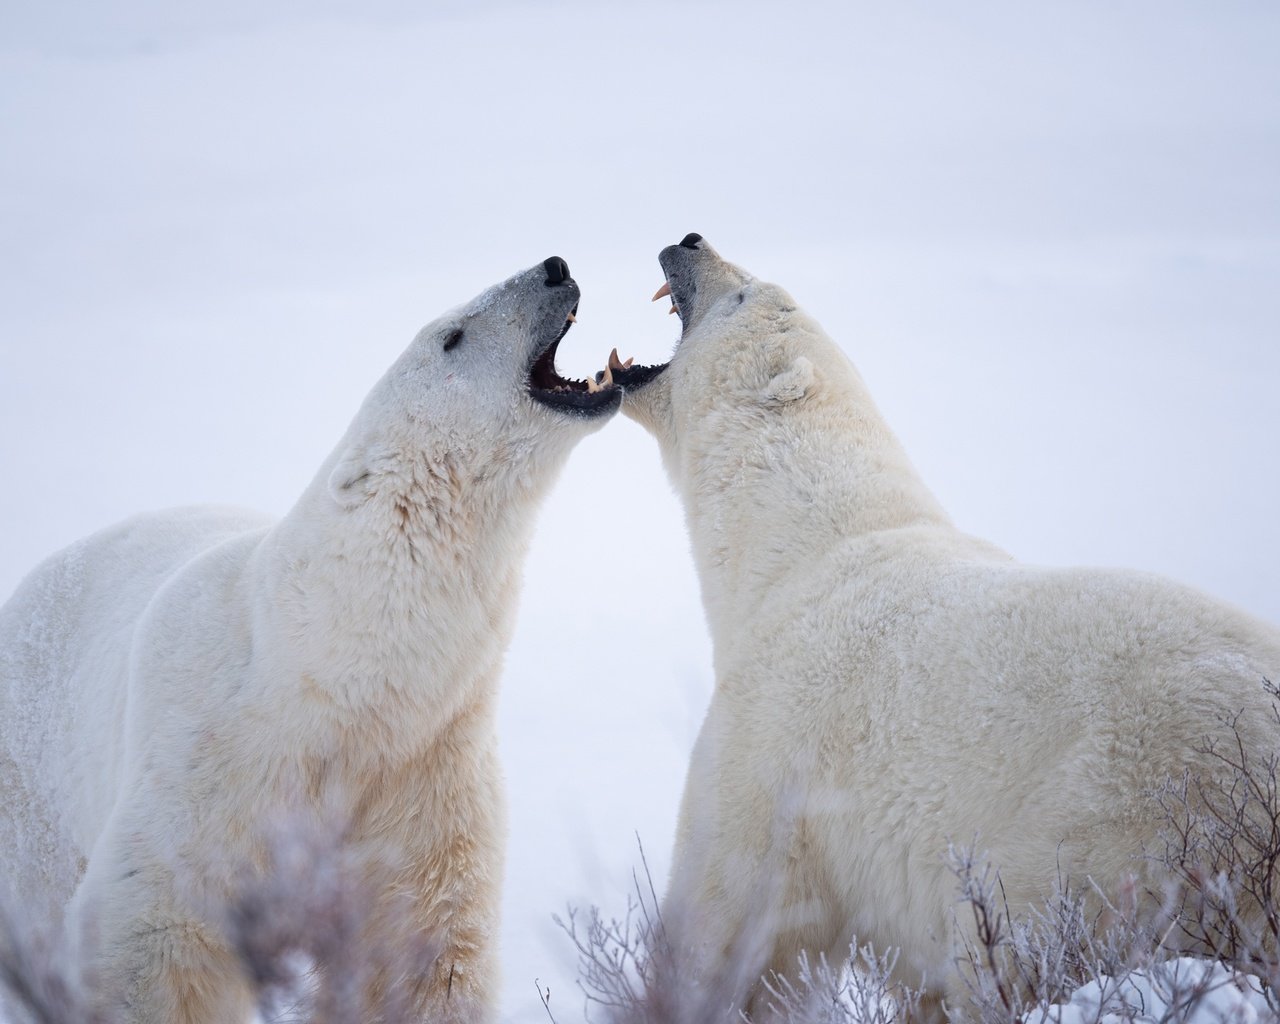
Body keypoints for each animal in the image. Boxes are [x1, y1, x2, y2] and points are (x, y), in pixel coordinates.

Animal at [0, 256, 619, 1024]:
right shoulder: (203, 786)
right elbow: (155, 944)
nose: (554, 266)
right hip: (32, 789)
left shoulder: (425, 781)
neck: (331, 686)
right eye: (452, 335)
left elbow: (414, 959)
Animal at [609, 235, 1280, 1018]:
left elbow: (730, 921)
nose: (690, 240)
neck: (798, 546)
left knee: (1012, 944)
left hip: (1120, 816)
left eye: (746, 294)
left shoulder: (773, 746)